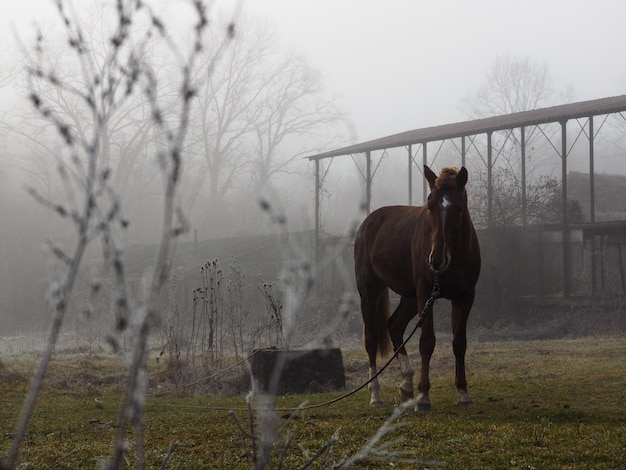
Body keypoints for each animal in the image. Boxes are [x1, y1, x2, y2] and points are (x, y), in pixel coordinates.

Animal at [354, 166, 480, 412]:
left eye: (459, 207)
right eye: (430, 205)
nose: (437, 260)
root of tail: (368, 222)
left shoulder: (465, 297)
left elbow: (459, 343)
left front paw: (463, 394)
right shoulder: (425, 293)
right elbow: (427, 342)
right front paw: (423, 397)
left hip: (410, 297)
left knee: (394, 325)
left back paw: (406, 385)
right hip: (370, 292)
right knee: (371, 339)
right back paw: (376, 395)